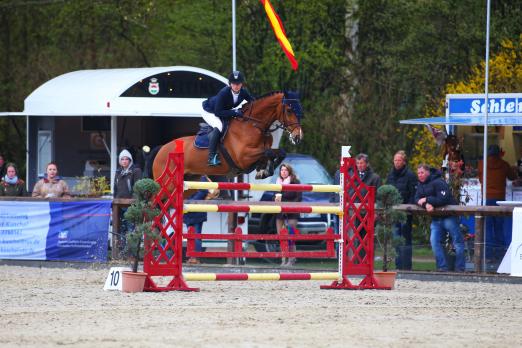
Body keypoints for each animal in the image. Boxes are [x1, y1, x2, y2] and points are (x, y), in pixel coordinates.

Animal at [152, 91, 302, 181]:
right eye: (289, 110)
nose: (298, 136)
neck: (254, 126)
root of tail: (161, 149)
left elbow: (278, 152)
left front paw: (263, 172)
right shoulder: (243, 157)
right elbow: (269, 152)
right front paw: (264, 172)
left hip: (190, 178)